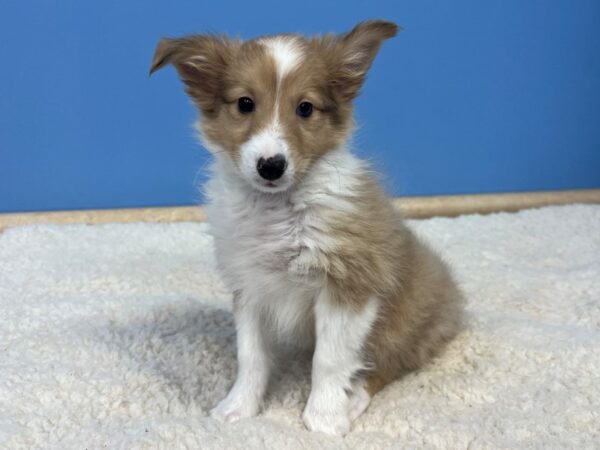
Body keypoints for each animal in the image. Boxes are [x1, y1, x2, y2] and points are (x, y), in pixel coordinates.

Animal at [150, 19, 464, 434]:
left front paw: (324, 419)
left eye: (305, 108)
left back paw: (352, 400)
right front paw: (238, 407)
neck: (278, 211)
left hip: (405, 321)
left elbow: (329, 361)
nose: (271, 166)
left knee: (387, 365)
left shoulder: (348, 285)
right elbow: (251, 355)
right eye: (245, 103)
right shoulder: (249, 285)